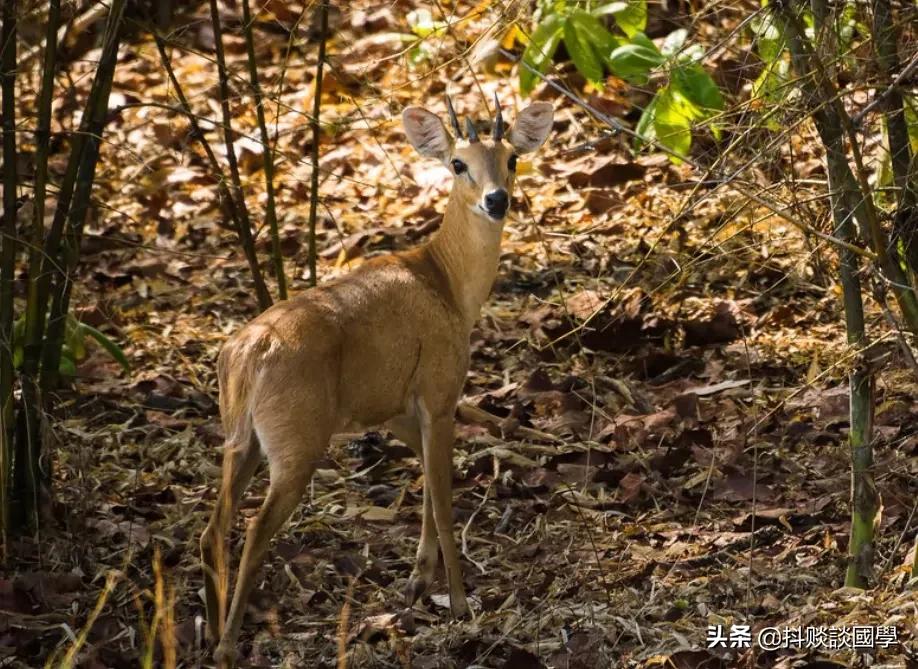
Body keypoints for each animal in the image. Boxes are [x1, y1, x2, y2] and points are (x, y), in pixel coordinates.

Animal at [200, 96, 552, 664]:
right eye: (458, 163)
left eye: (513, 160)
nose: (496, 200)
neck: (448, 285)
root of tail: (248, 353)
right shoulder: (439, 388)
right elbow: (444, 499)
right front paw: (459, 602)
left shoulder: (395, 409)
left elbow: (427, 484)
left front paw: (418, 580)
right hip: (297, 439)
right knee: (253, 529)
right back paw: (229, 645)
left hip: (241, 437)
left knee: (213, 527)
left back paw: (210, 633)